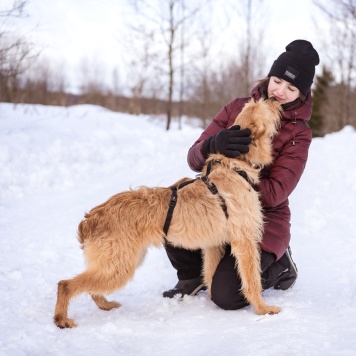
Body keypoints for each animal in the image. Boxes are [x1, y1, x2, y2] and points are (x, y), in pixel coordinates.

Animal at [53, 97, 280, 328]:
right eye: (265, 106)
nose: (273, 98)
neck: (236, 165)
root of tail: (90, 219)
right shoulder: (245, 241)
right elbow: (252, 280)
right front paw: (263, 309)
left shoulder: (213, 245)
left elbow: (210, 275)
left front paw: (210, 299)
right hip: (118, 265)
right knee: (66, 284)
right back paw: (62, 319)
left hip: (118, 263)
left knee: (89, 288)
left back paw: (105, 305)